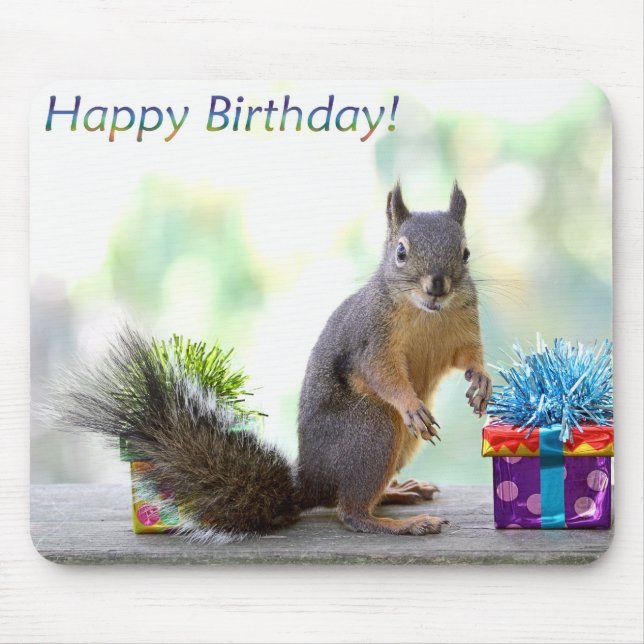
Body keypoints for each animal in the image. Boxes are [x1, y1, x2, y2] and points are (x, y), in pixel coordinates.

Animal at [55, 181, 491, 542]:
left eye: (466, 253)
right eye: (401, 252)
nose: (437, 286)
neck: (427, 314)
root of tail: (310, 483)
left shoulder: (464, 329)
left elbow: (469, 357)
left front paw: (482, 382)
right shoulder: (371, 339)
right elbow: (382, 374)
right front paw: (410, 404)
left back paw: (399, 492)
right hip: (373, 428)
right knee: (350, 512)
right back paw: (400, 523)